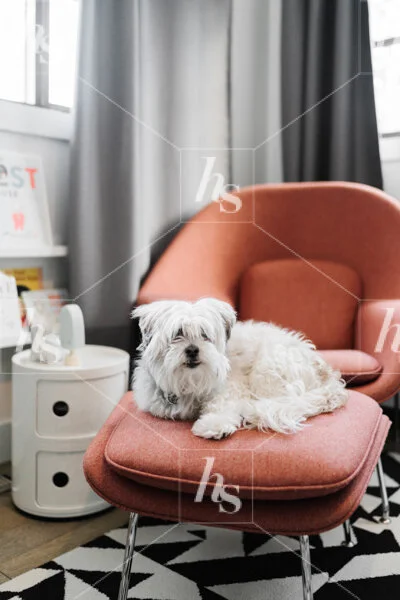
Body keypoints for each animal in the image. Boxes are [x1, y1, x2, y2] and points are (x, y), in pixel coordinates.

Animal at [132, 298, 348, 439]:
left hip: (267, 368)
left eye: (204, 335)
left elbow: (221, 404)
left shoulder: (232, 386)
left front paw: (215, 424)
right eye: (177, 334)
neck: (189, 382)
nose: (192, 350)